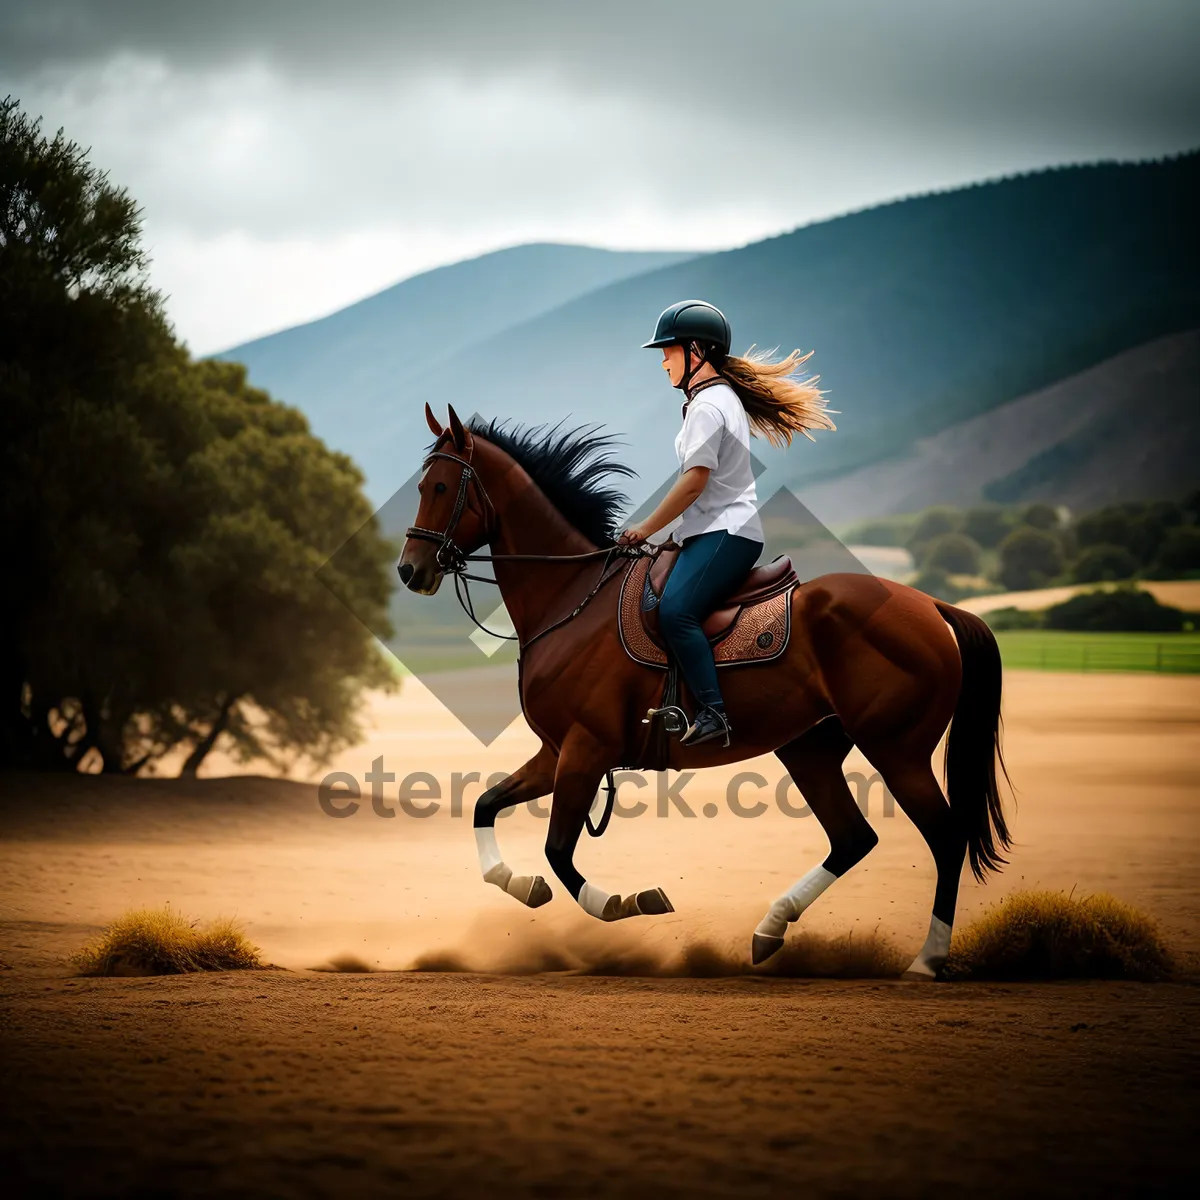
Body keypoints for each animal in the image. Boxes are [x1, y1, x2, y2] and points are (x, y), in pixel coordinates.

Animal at [398, 408, 1008, 979]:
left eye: (441, 488)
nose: (410, 571)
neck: (569, 598)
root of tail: (930, 605)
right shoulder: (557, 752)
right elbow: (486, 807)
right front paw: (522, 884)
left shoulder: (584, 750)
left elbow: (559, 852)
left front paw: (626, 900)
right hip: (810, 749)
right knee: (852, 838)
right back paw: (770, 929)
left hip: (897, 751)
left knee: (946, 838)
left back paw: (926, 960)